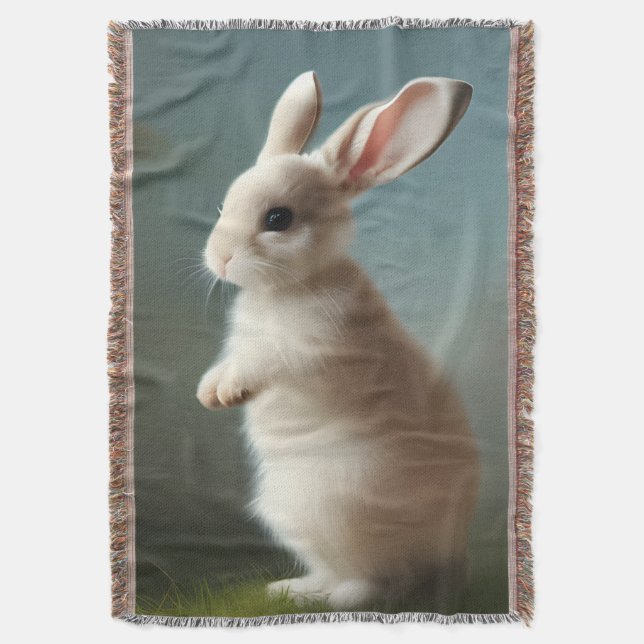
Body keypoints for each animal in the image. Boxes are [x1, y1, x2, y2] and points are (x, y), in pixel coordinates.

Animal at [196, 71, 480, 610]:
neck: (288, 286)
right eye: (222, 205)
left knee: (380, 582)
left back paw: (332, 600)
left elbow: (267, 363)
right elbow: (231, 359)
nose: (219, 258)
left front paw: (229, 393)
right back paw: (291, 589)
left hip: (335, 508)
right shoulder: (243, 342)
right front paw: (209, 392)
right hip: (291, 517)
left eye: (278, 219)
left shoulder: (318, 347)